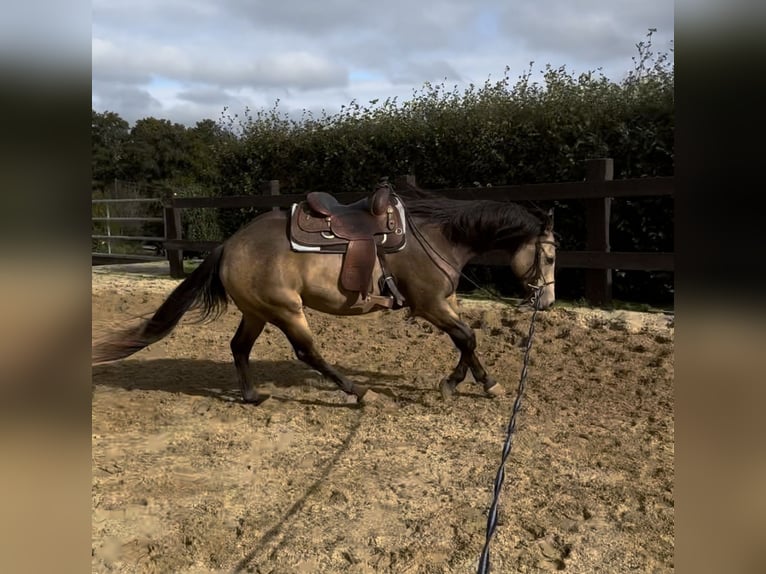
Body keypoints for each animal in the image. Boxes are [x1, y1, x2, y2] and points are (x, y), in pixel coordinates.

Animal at [93, 182, 556, 408]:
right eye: (549, 256)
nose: (546, 302)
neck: (437, 236)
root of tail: (229, 245)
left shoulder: (447, 302)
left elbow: (466, 341)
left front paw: (476, 381)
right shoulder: (429, 305)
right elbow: (467, 338)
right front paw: (464, 384)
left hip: (257, 312)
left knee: (239, 347)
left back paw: (251, 396)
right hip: (286, 310)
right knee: (308, 353)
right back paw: (359, 393)